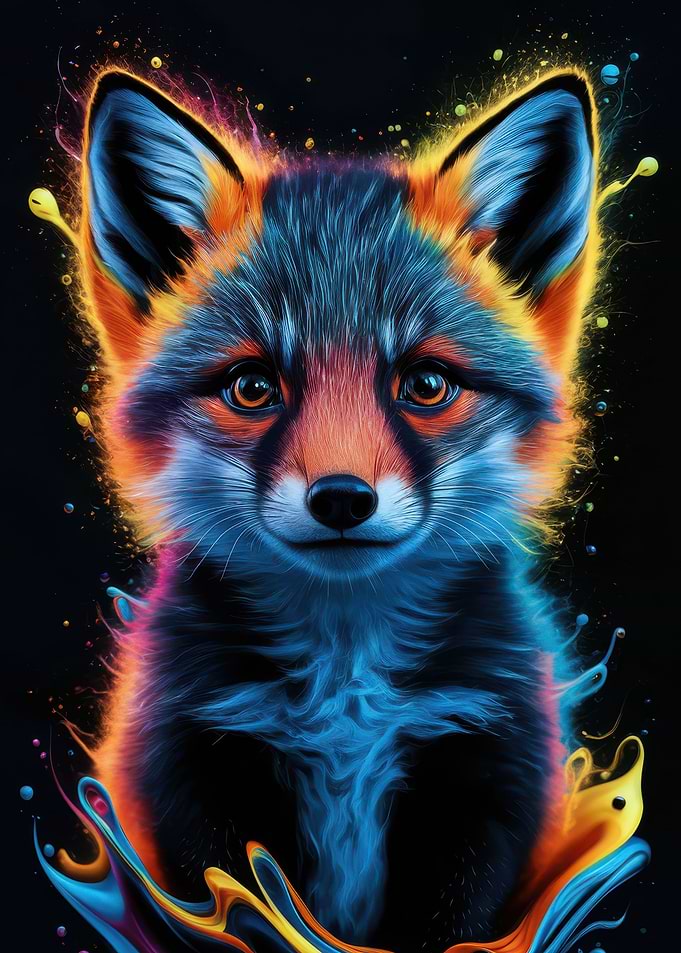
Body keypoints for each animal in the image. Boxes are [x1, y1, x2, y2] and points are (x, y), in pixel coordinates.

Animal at [69, 67, 599, 950]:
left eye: (425, 383)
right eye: (253, 385)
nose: (343, 499)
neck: (345, 686)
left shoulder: (483, 778)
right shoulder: (194, 782)